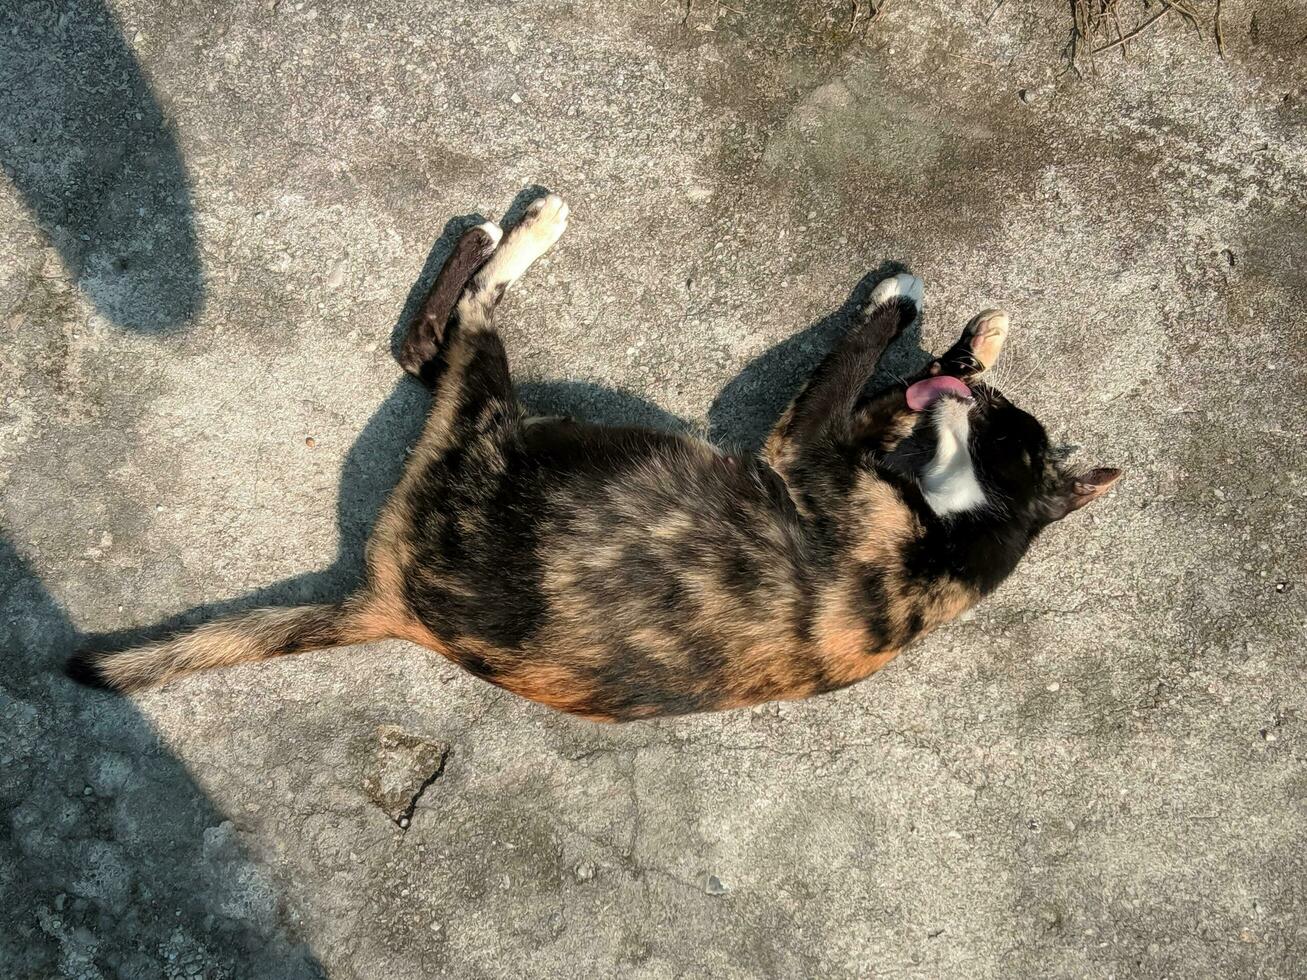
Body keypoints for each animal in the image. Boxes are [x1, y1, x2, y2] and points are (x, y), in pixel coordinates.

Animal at [66, 195, 1118, 726]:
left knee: (467, 321)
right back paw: (487, 235)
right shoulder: (842, 442)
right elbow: (877, 390)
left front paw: (902, 300)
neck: (954, 535)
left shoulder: (803, 450)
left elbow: (850, 364)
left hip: (490, 423)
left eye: (1015, 442)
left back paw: (525, 228)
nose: (984, 399)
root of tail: (394, 609)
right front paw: (971, 338)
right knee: (423, 344)